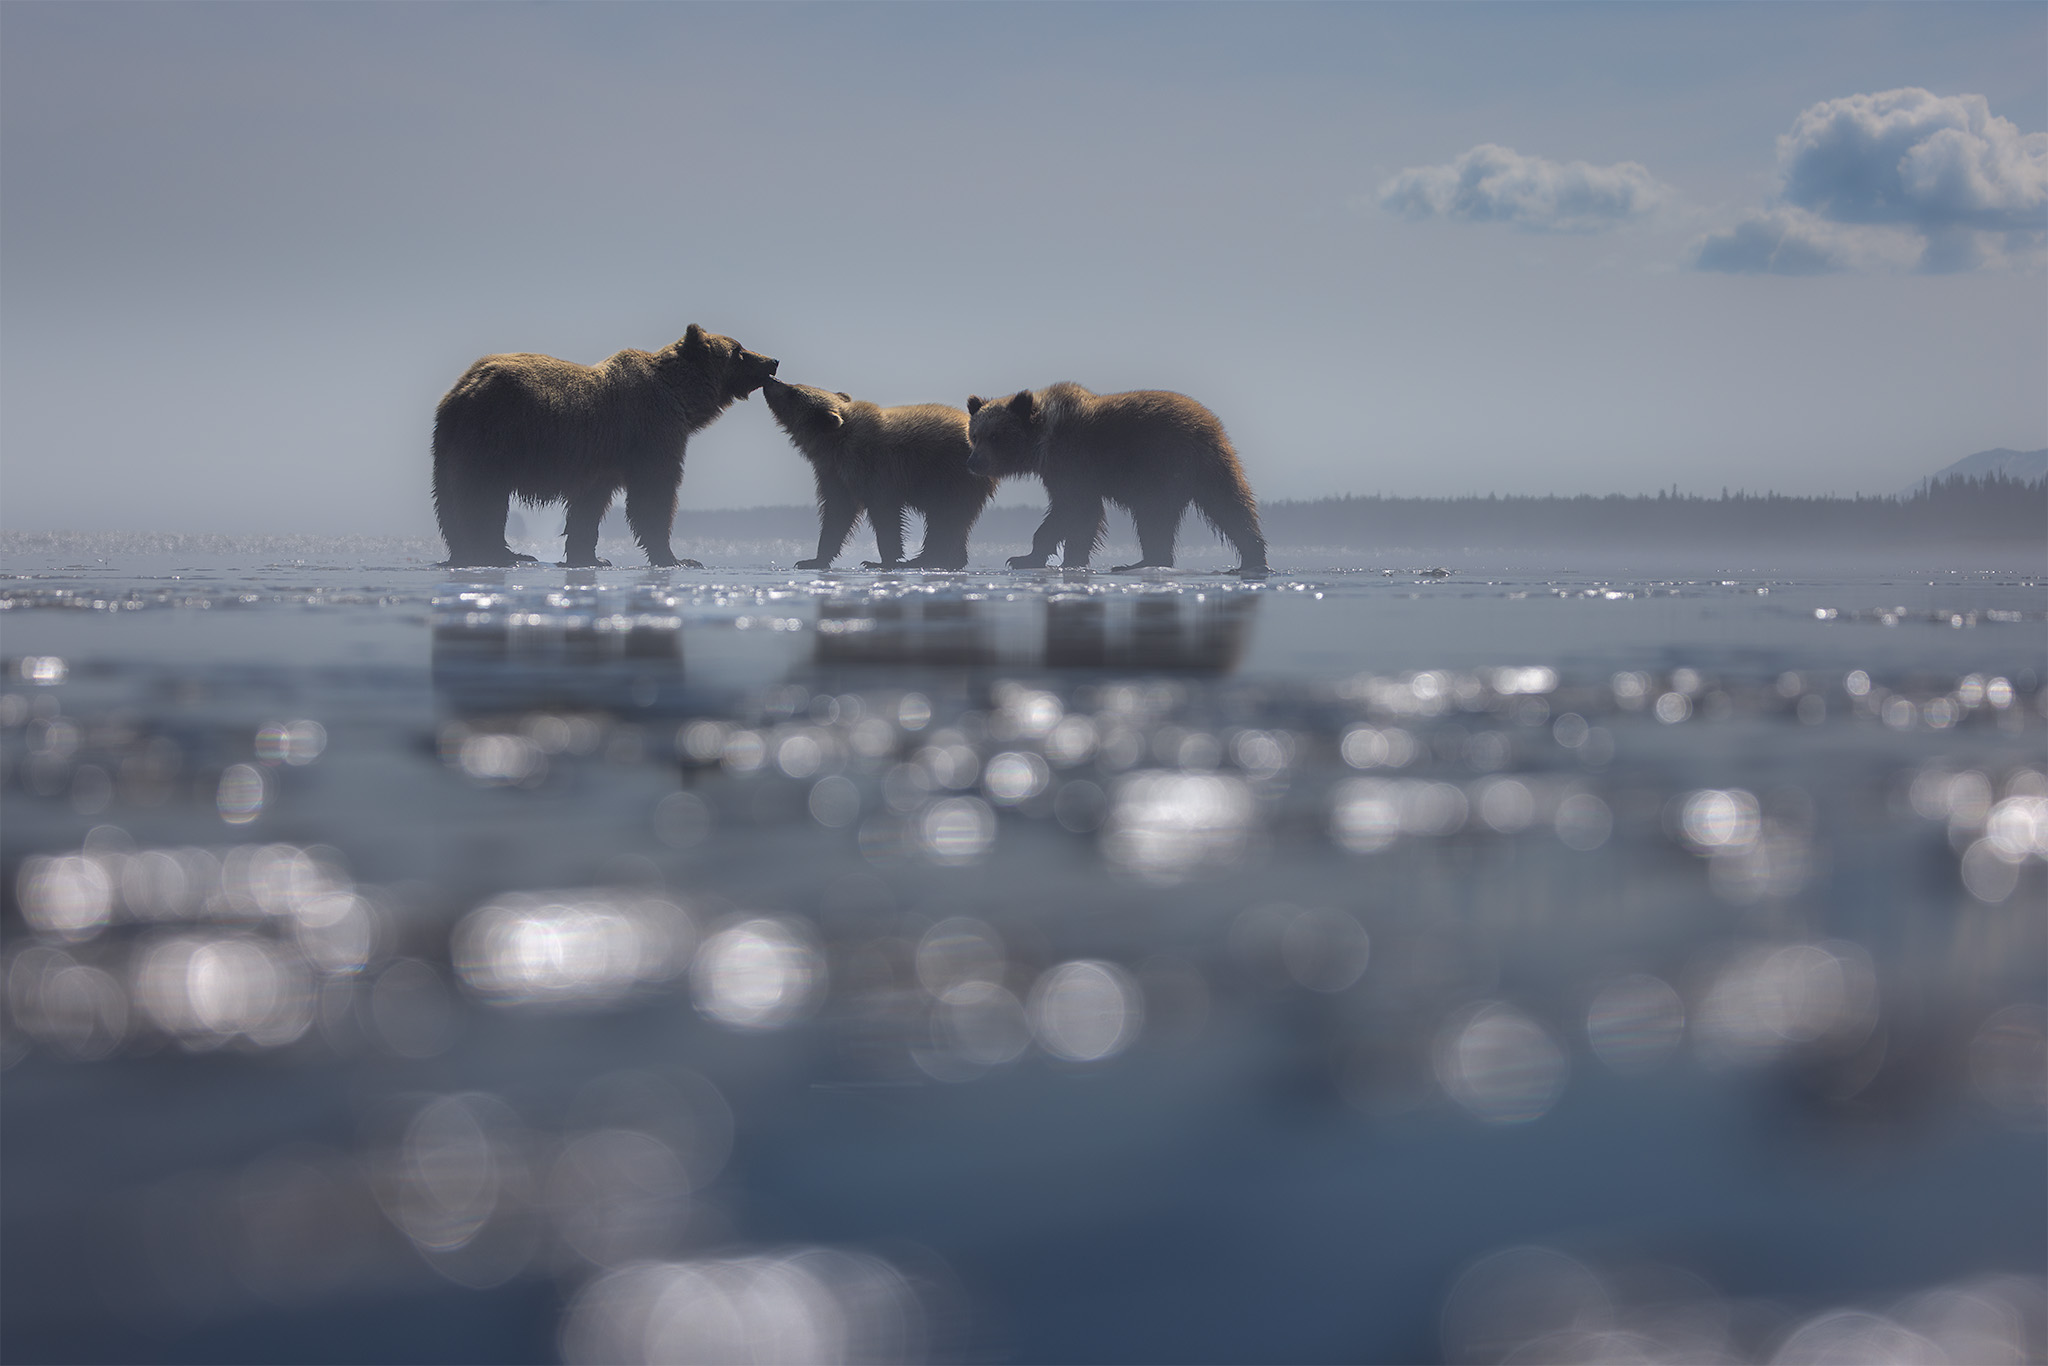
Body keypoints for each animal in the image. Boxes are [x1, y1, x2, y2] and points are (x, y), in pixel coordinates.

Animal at [432, 324, 778, 568]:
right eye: (739, 350)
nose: (772, 361)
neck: (681, 398)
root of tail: (464, 389)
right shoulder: (651, 432)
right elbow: (654, 492)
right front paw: (678, 557)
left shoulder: (602, 462)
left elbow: (589, 506)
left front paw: (592, 557)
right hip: (495, 437)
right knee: (483, 496)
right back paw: (499, 552)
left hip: (448, 443)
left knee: (448, 500)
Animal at [761, 377, 997, 571]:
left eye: (793, 391)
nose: (771, 379)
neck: (835, 446)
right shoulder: (834, 474)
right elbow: (837, 512)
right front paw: (813, 559)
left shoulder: (876, 468)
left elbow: (884, 513)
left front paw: (881, 560)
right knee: (955, 521)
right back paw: (952, 559)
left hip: (949, 475)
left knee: (944, 518)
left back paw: (923, 559)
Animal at [964, 383, 1268, 575]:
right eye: (975, 435)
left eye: (995, 436)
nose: (973, 462)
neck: (1043, 441)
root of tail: (1207, 423)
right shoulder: (1060, 472)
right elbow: (1082, 517)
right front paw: (1069, 560)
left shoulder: (1072, 462)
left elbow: (1073, 510)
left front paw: (1023, 558)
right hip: (1211, 468)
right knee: (1231, 508)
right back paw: (1251, 558)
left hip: (1162, 465)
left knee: (1156, 516)